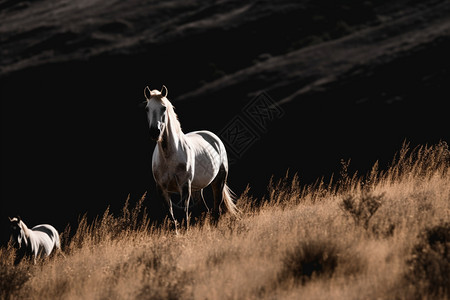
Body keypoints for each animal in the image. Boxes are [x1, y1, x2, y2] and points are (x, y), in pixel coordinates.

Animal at [145, 84, 239, 232]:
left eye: (164, 108)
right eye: (147, 108)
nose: (155, 132)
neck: (168, 157)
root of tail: (213, 137)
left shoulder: (185, 187)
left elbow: (184, 214)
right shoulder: (162, 190)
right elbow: (171, 217)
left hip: (218, 181)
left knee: (216, 211)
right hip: (197, 189)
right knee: (206, 210)